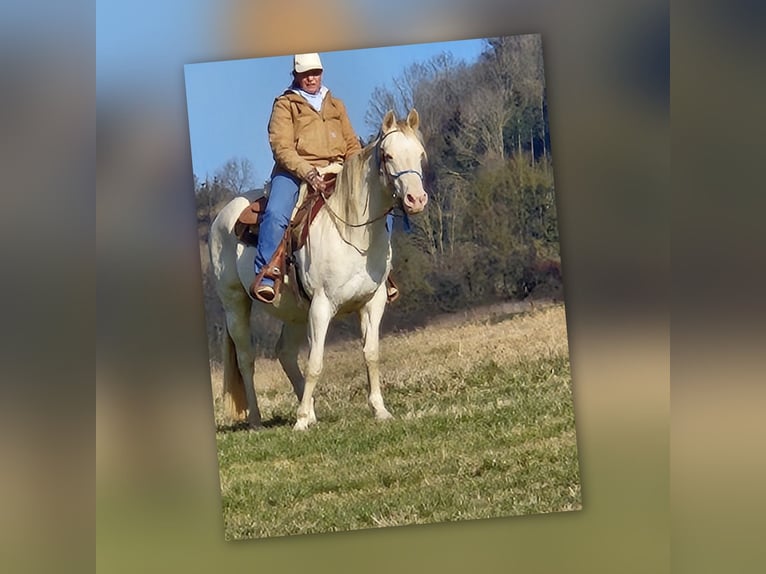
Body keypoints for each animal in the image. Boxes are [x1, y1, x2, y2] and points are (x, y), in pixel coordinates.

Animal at [207, 109, 428, 432]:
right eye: (388, 156)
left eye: (420, 155)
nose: (416, 200)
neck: (353, 231)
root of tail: (222, 214)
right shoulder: (322, 305)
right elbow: (315, 362)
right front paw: (299, 421)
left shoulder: (372, 303)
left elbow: (371, 355)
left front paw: (380, 410)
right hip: (236, 303)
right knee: (246, 359)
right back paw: (258, 420)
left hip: (296, 312)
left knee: (285, 353)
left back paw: (310, 410)